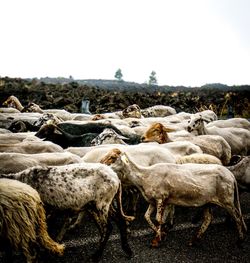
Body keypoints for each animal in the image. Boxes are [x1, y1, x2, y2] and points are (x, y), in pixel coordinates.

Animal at [0, 162, 135, 262]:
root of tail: (115, 177)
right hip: (104, 203)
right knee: (119, 221)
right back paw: (127, 249)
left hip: (102, 202)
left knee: (108, 228)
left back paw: (96, 255)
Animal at [100, 148, 247, 250]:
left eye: (114, 158)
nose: (104, 167)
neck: (144, 176)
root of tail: (230, 175)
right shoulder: (153, 201)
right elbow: (147, 217)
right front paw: (160, 234)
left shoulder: (161, 199)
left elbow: (158, 219)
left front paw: (157, 239)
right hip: (208, 202)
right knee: (208, 219)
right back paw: (194, 240)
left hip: (227, 200)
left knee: (237, 217)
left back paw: (240, 240)